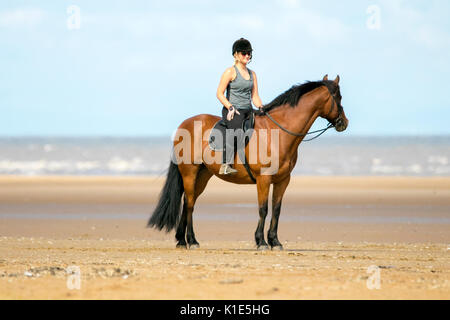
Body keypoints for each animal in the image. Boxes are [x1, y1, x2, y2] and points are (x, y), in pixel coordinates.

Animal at [148, 74, 348, 250]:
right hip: (190, 173)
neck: (277, 133)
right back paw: (191, 240)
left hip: (202, 176)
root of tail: (184, 125)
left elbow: (276, 209)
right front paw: (262, 242)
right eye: (339, 97)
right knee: (189, 204)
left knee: (188, 204)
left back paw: (182, 240)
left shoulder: (283, 180)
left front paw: (275, 241)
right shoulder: (264, 179)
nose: (344, 123)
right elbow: (263, 209)